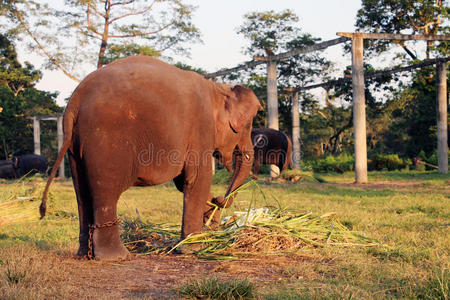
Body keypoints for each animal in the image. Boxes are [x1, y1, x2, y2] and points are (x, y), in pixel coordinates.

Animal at [41, 55, 264, 260]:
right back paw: (118, 256)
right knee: (106, 190)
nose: (220, 199)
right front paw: (193, 248)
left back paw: (85, 255)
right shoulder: (201, 127)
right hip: (106, 140)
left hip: (75, 145)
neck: (217, 88)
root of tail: (75, 100)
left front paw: (210, 220)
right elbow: (196, 179)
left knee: (82, 192)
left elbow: (182, 182)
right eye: (247, 126)